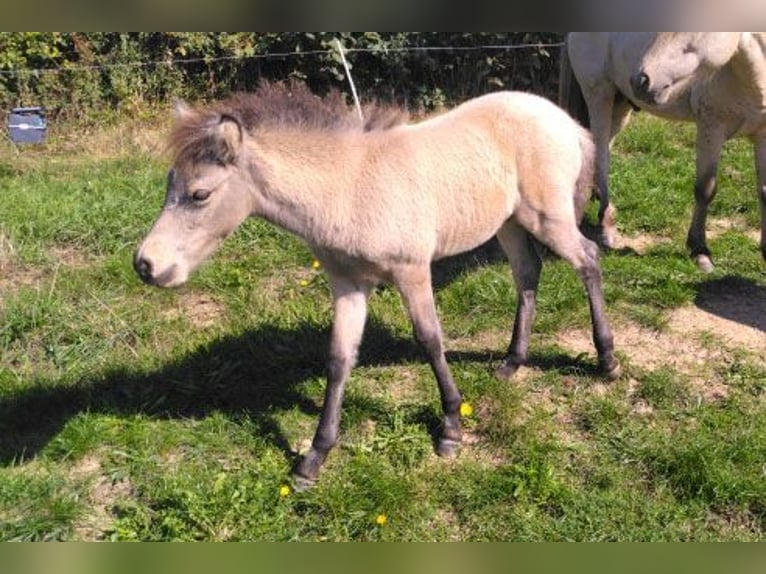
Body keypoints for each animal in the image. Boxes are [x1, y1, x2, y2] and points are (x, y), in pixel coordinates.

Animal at [134, 81, 619, 486]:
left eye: (200, 194)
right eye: (168, 185)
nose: (145, 265)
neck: (347, 189)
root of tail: (563, 119)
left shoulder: (412, 271)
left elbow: (430, 340)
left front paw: (450, 429)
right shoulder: (348, 285)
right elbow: (338, 358)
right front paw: (314, 458)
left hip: (547, 217)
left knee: (587, 260)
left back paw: (607, 359)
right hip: (510, 223)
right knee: (528, 273)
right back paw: (512, 362)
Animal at [559, 32, 766, 272]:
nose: (641, 81)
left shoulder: (763, 135)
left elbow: (763, 192)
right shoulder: (711, 129)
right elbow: (705, 190)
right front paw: (700, 251)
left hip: (621, 104)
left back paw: (596, 195)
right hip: (600, 94)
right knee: (602, 152)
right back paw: (607, 223)